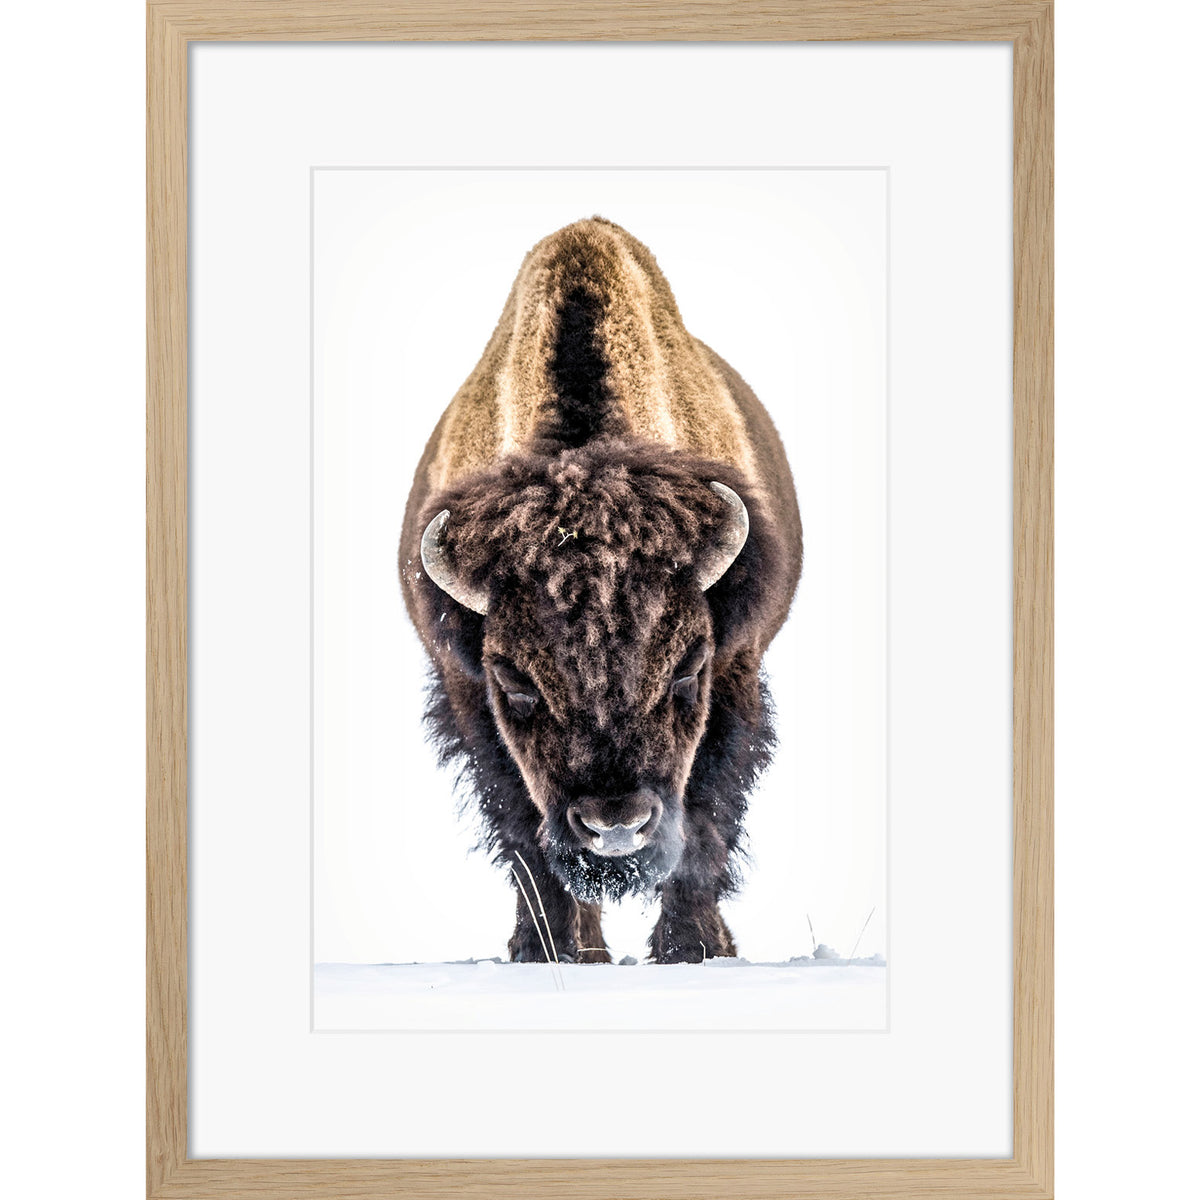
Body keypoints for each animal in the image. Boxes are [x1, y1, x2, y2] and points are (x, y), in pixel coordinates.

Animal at [400, 218, 802, 963]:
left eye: (688, 670)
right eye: (516, 681)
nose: (615, 825)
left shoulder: (736, 670)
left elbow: (705, 819)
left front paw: (690, 949)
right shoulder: (467, 694)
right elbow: (525, 836)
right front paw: (548, 951)